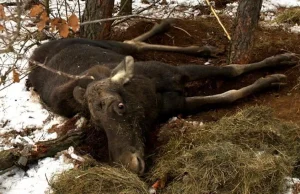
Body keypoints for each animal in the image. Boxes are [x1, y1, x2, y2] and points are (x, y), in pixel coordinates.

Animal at [27, 19, 296, 174]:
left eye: (120, 106)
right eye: (96, 124)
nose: (128, 164)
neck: (146, 100)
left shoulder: (175, 72)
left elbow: (232, 70)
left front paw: (277, 67)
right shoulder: (174, 104)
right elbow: (227, 95)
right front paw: (271, 78)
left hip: (104, 44)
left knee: (131, 44)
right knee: (133, 43)